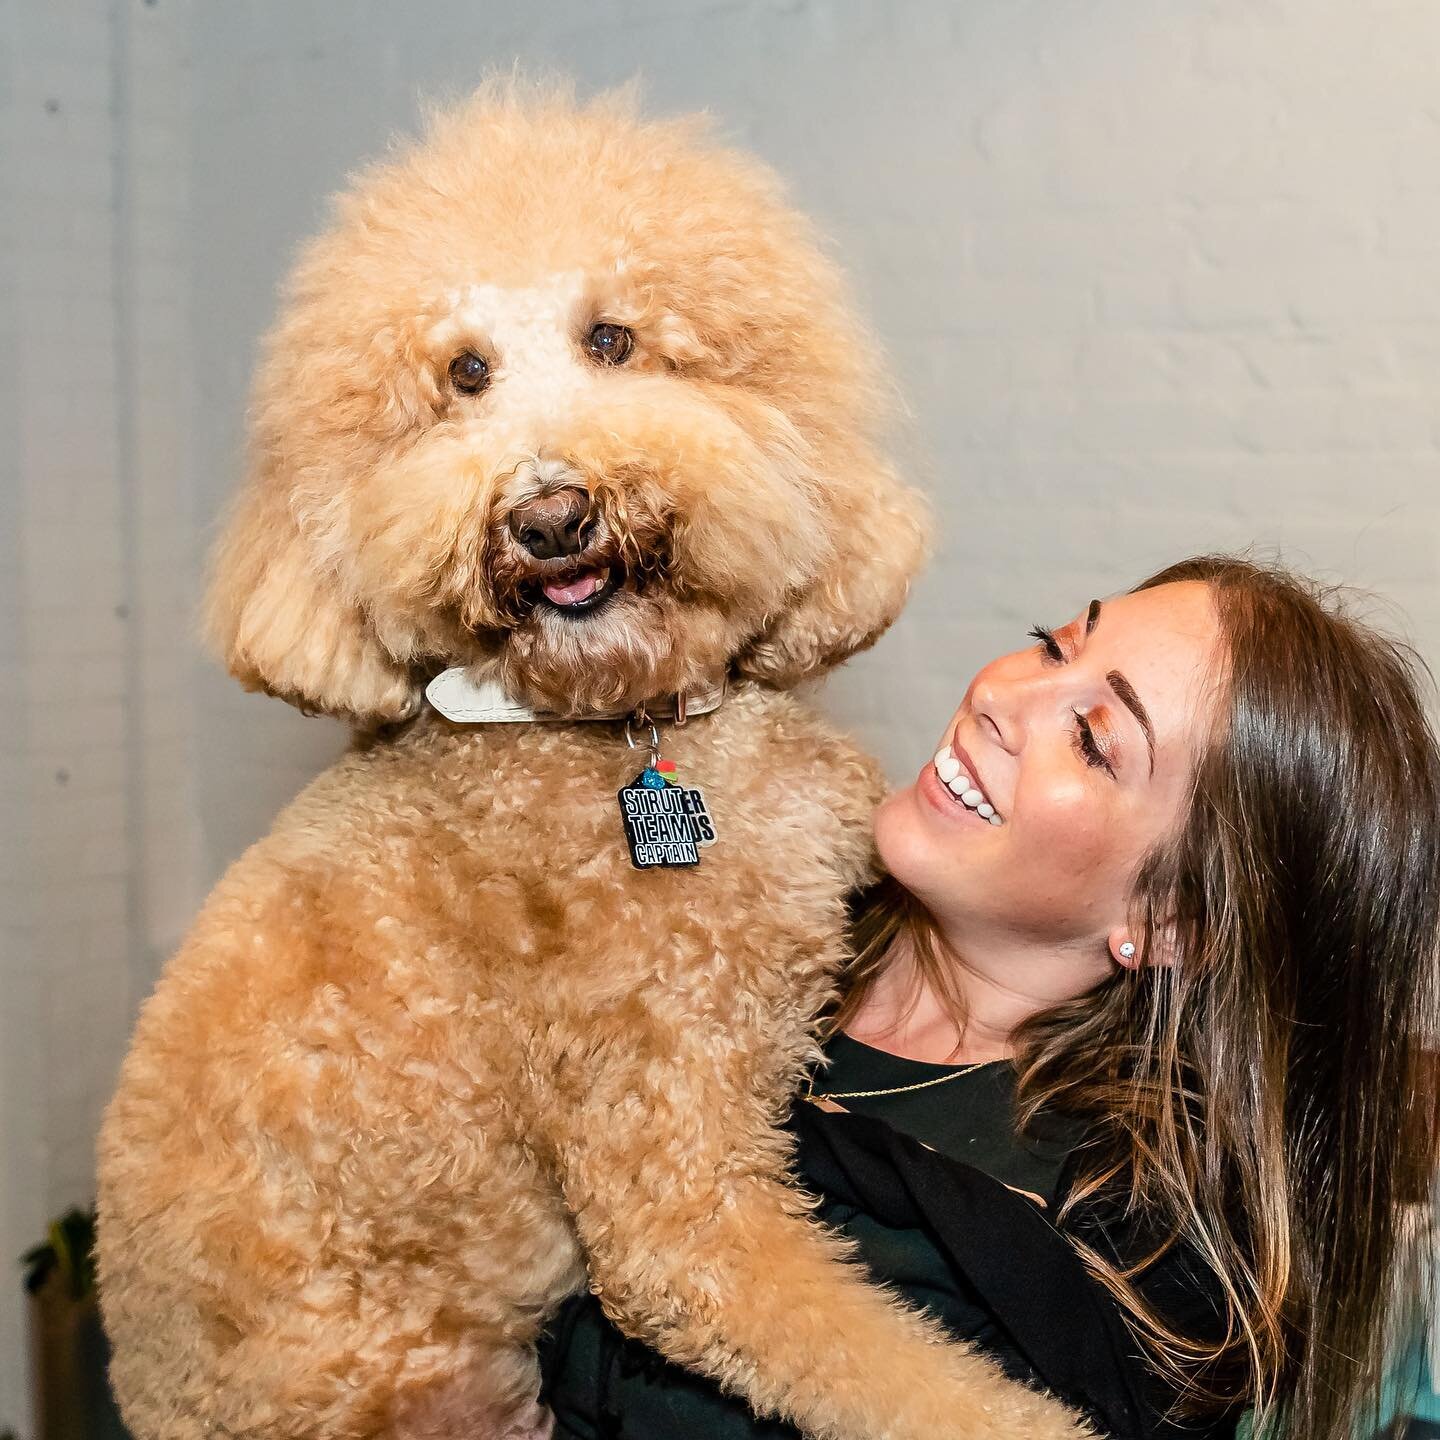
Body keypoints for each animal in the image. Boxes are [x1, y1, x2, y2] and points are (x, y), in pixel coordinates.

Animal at [92, 75, 1082, 1440]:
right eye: (463, 374)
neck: (632, 731)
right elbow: (895, 1370)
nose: (549, 514)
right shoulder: (677, 1184)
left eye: (612, 339)